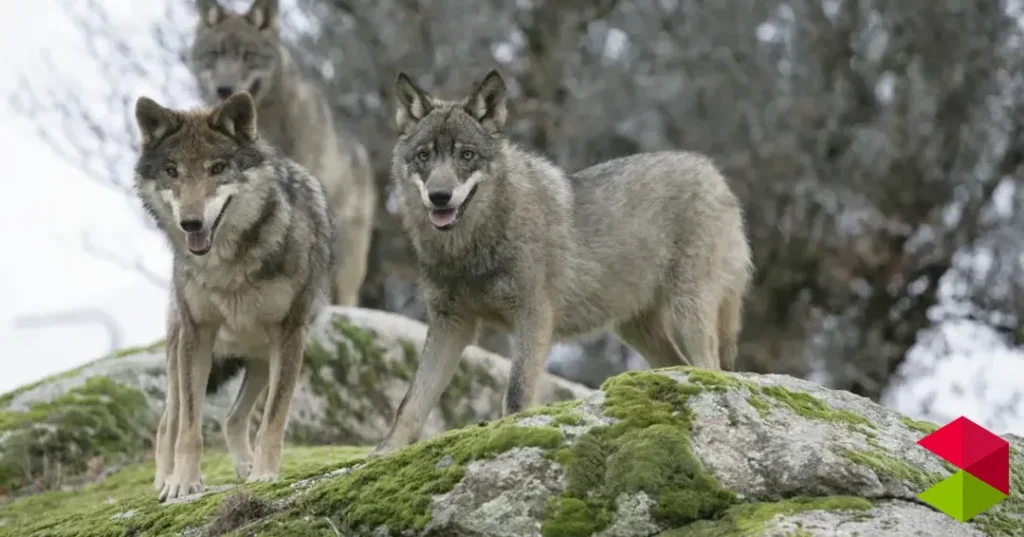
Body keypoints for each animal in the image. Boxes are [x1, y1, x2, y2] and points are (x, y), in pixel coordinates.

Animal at [132, 91, 338, 501]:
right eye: (172, 171)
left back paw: (246, 467)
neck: (226, 266)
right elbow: (190, 428)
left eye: (217, 168)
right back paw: (164, 480)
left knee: (232, 418)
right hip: (180, 355)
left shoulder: (291, 334)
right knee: (168, 424)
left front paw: (264, 474)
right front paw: (183, 483)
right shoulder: (197, 335)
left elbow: (273, 419)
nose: (191, 223)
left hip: (260, 357)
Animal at [373, 69, 754, 455]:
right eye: (424, 155)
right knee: (681, 365)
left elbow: (516, 395)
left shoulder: (533, 316)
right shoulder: (451, 324)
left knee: (712, 368)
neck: (469, 249)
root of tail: (713, 172)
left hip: (688, 311)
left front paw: (509, 436)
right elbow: (411, 403)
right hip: (636, 329)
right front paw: (384, 451)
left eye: (467, 155)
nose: (439, 197)